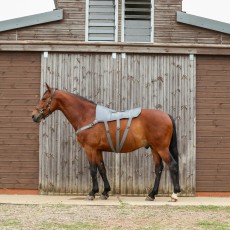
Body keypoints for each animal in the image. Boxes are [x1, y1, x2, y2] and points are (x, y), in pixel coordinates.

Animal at [31, 83, 181, 200]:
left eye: (44, 98)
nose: (33, 115)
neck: (87, 115)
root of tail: (166, 115)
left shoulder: (90, 149)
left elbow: (93, 169)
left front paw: (92, 193)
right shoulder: (98, 150)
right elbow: (102, 169)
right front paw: (105, 192)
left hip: (161, 148)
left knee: (172, 165)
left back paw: (174, 194)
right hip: (154, 148)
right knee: (158, 169)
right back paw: (151, 194)